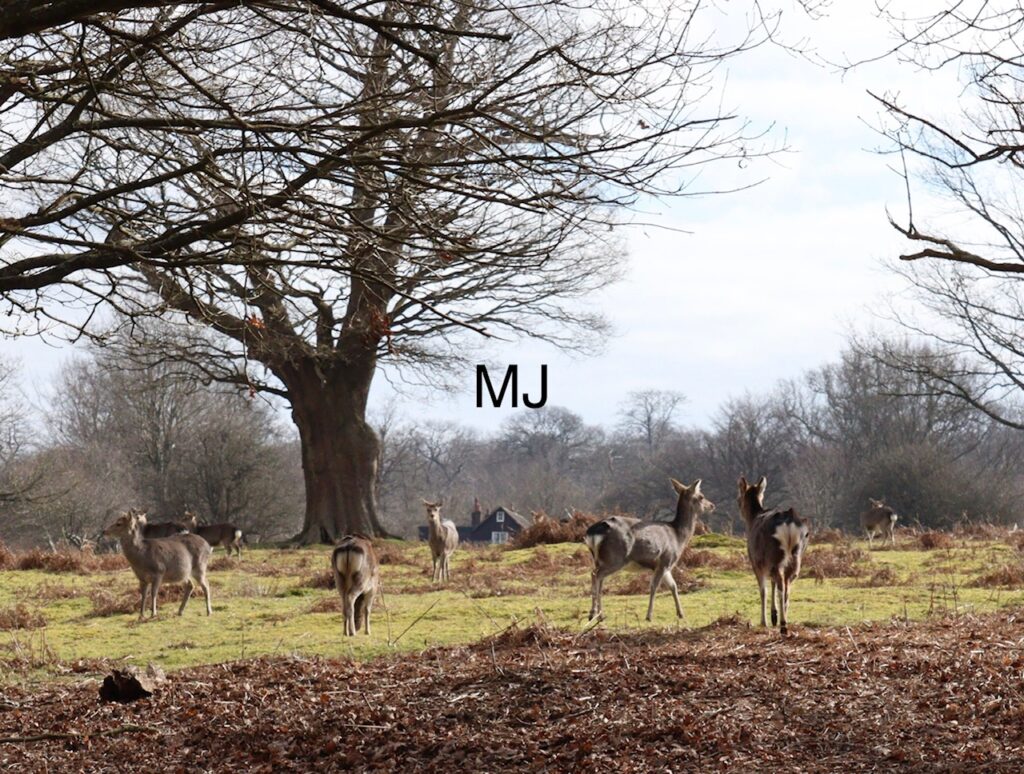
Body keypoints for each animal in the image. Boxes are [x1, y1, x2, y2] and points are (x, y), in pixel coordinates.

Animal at [584, 478, 715, 622]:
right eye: (701, 496)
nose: (712, 505)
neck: (678, 537)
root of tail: (593, 532)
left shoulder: (664, 566)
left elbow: (673, 586)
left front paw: (680, 613)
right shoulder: (665, 560)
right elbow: (654, 586)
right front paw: (649, 616)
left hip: (599, 558)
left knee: (598, 578)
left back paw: (597, 614)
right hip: (615, 557)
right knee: (596, 575)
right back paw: (595, 614)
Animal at [737, 476, 810, 636]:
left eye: (739, 497)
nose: (739, 507)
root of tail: (789, 521)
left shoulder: (756, 563)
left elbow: (763, 590)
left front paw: (764, 621)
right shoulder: (768, 564)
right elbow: (772, 584)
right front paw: (773, 616)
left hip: (776, 555)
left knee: (782, 585)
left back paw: (783, 625)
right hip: (796, 556)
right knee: (787, 586)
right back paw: (784, 619)